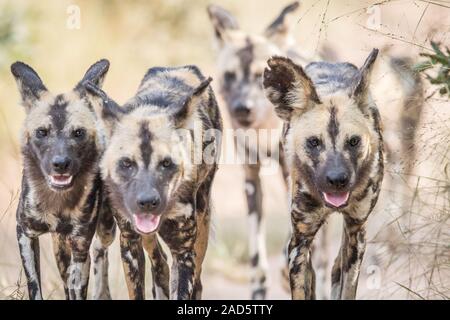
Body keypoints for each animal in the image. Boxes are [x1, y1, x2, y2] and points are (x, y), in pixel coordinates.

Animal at [11, 58, 116, 300]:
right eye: (42, 132)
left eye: (78, 133)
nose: (60, 164)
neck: (57, 201)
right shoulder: (25, 233)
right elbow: (35, 286)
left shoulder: (79, 245)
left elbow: (77, 288)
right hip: (60, 248)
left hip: (106, 231)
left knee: (99, 253)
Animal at [83, 65, 222, 300]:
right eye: (127, 163)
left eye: (166, 163)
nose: (147, 202)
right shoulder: (130, 243)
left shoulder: (183, 251)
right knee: (158, 261)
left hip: (201, 225)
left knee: (196, 280)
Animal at [207, 1, 330, 298]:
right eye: (230, 76)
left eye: (257, 77)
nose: (242, 108)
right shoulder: (251, 180)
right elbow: (257, 256)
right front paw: (258, 286)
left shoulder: (294, 180)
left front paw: (288, 272)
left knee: (322, 258)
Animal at [264, 48, 384, 298]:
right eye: (313, 142)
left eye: (354, 141)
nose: (337, 180)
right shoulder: (300, 241)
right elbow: (303, 287)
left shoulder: (356, 232)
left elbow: (347, 287)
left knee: (337, 266)